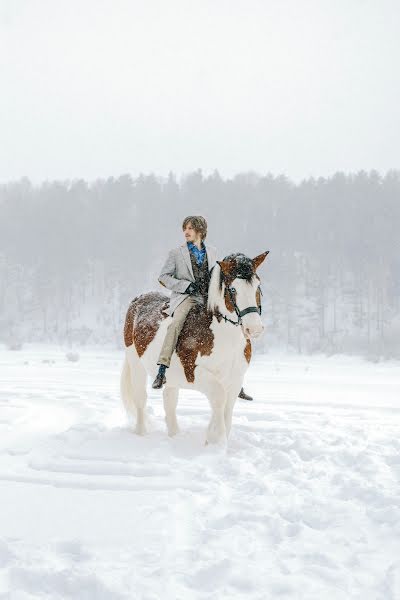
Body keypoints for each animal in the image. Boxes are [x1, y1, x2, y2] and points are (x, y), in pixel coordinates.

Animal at [119, 251, 268, 442]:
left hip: (171, 377)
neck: (224, 337)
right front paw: (216, 440)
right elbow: (219, 398)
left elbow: (226, 409)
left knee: (169, 401)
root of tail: (139, 299)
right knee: (140, 399)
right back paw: (141, 434)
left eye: (258, 286)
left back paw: (175, 436)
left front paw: (215, 437)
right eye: (233, 289)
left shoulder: (235, 378)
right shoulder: (195, 373)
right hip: (136, 363)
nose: (254, 328)